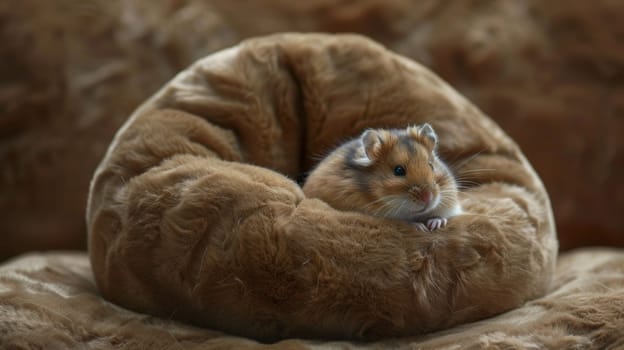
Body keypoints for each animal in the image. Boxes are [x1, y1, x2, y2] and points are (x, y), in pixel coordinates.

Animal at [304, 124, 460, 231]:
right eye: (398, 170)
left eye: (431, 166)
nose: (428, 198)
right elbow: (406, 222)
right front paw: (420, 227)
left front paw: (436, 223)